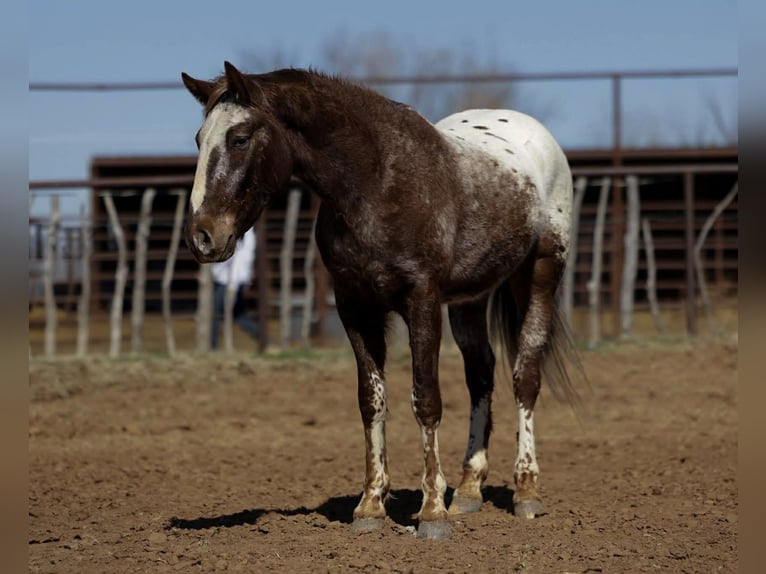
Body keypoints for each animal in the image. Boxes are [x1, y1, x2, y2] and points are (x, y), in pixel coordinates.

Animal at [180, 61, 585, 540]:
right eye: (199, 139)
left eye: (240, 138)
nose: (203, 236)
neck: (377, 183)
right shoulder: (355, 307)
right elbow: (371, 401)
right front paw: (371, 506)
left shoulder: (422, 302)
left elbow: (426, 399)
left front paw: (432, 513)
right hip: (470, 298)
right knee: (481, 375)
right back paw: (469, 489)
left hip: (541, 273)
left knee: (525, 375)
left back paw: (525, 490)